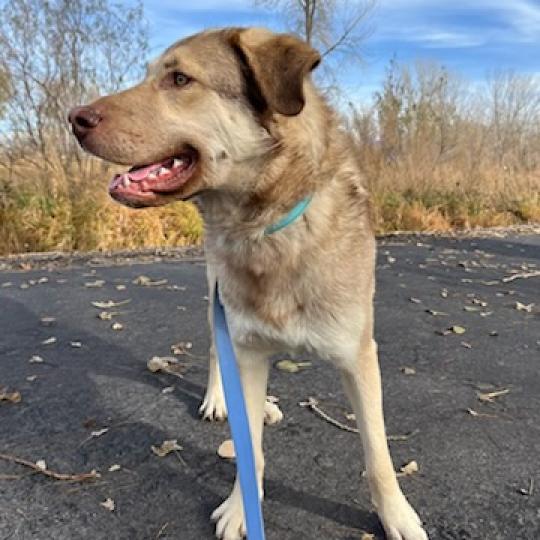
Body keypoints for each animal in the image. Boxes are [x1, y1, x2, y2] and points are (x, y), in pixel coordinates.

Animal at [68, 26, 430, 540]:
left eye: (180, 79)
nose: (74, 119)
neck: (270, 228)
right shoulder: (246, 345)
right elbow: (248, 449)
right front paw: (243, 508)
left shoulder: (359, 358)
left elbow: (378, 455)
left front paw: (396, 516)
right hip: (216, 302)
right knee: (218, 354)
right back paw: (222, 398)